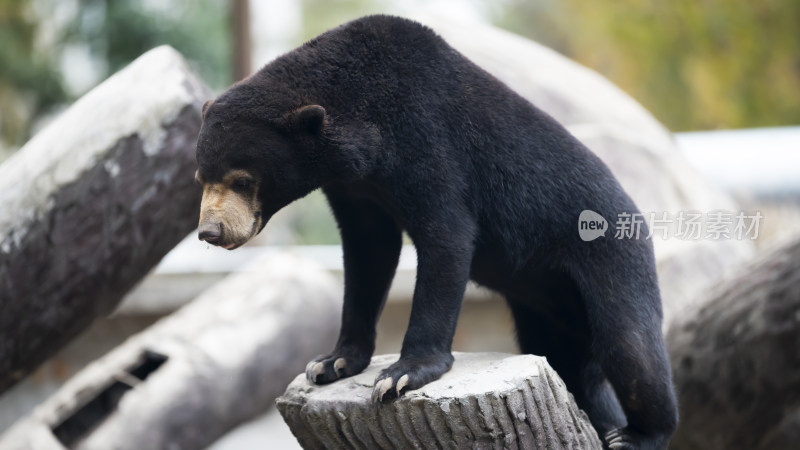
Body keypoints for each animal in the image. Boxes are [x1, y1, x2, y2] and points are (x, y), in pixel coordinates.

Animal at [194, 14, 676, 450]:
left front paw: (399, 376)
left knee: (632, 349)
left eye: (242, 180)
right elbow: (369, 253)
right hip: (544, 306)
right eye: (202, 177)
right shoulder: (353, 187)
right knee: (570, 363)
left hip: (608, 258)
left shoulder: (426, 140)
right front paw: (330, 363)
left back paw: (636, 435)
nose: (210, 232)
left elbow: (447, 236)